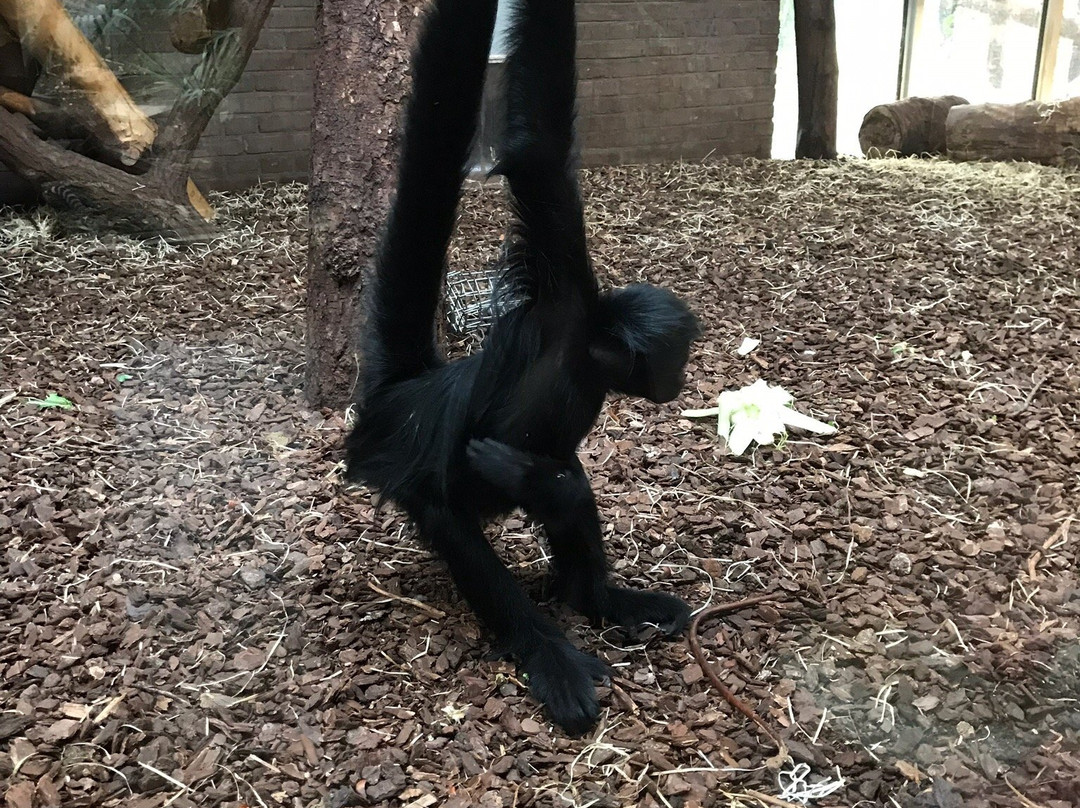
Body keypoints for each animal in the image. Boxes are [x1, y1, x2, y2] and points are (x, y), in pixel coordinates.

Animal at [345, 0, 699, 734]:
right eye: (678, 357)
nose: (679, 378)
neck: (587, 353)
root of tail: (408, 397)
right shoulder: (561, 283)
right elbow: (539, 143)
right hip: (415, 478)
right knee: (461, 520)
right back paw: (550, 652)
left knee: (565, 483)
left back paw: (601, 600)